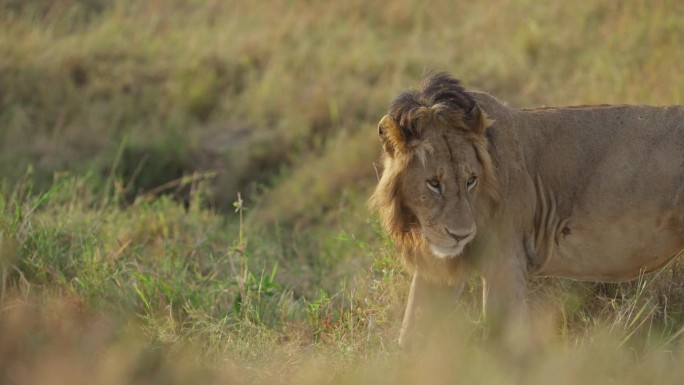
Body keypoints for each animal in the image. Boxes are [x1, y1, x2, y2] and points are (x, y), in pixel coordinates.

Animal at [368, 72, 684, 344]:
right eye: (434, 183)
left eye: (471, 180)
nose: (461, 235)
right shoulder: (436, 267)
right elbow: (413, 329)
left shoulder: (505, 262)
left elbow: (501, 339)